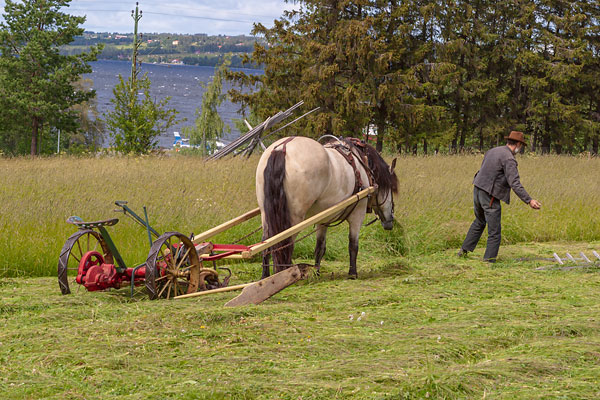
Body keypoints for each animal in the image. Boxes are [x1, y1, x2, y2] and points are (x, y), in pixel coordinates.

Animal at [254, 136, 398, 280]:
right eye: (391, 188)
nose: (390, 221)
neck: (363, 165)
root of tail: (282, 147)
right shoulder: (357, 215)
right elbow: (353, 245)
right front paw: (352, 273)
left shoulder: (323, 219)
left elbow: (320, 247)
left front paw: (317, 272)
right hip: (294, 217)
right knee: (285, 243)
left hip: (266, 214)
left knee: (266, 243)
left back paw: (265, 275)